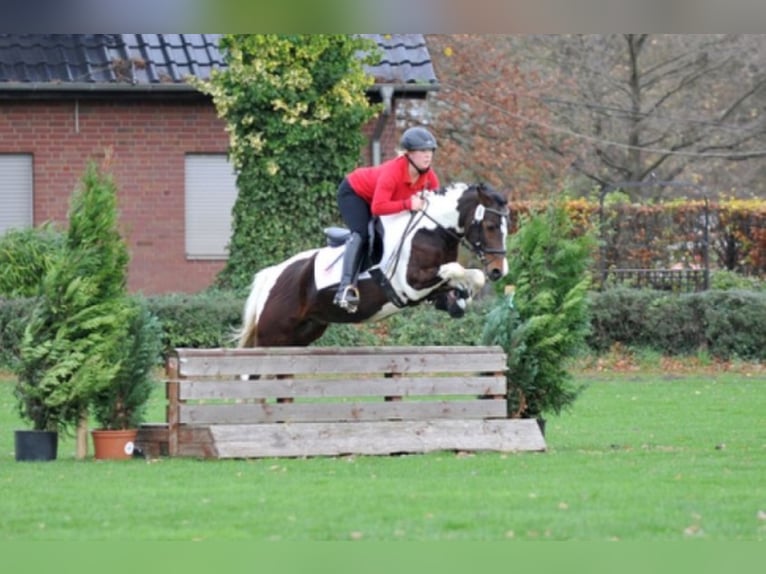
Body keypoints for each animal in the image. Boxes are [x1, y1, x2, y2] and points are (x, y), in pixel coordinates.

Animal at [234, 182, 510, 348]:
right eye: (490, 226)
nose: (499, 270)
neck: (432, 231)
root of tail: (274, 274)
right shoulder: (410, 284)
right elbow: (455, 269)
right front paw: (461, 293)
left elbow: (470, 276)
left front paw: (459, 298)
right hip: (272, 332)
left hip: (303, 331)